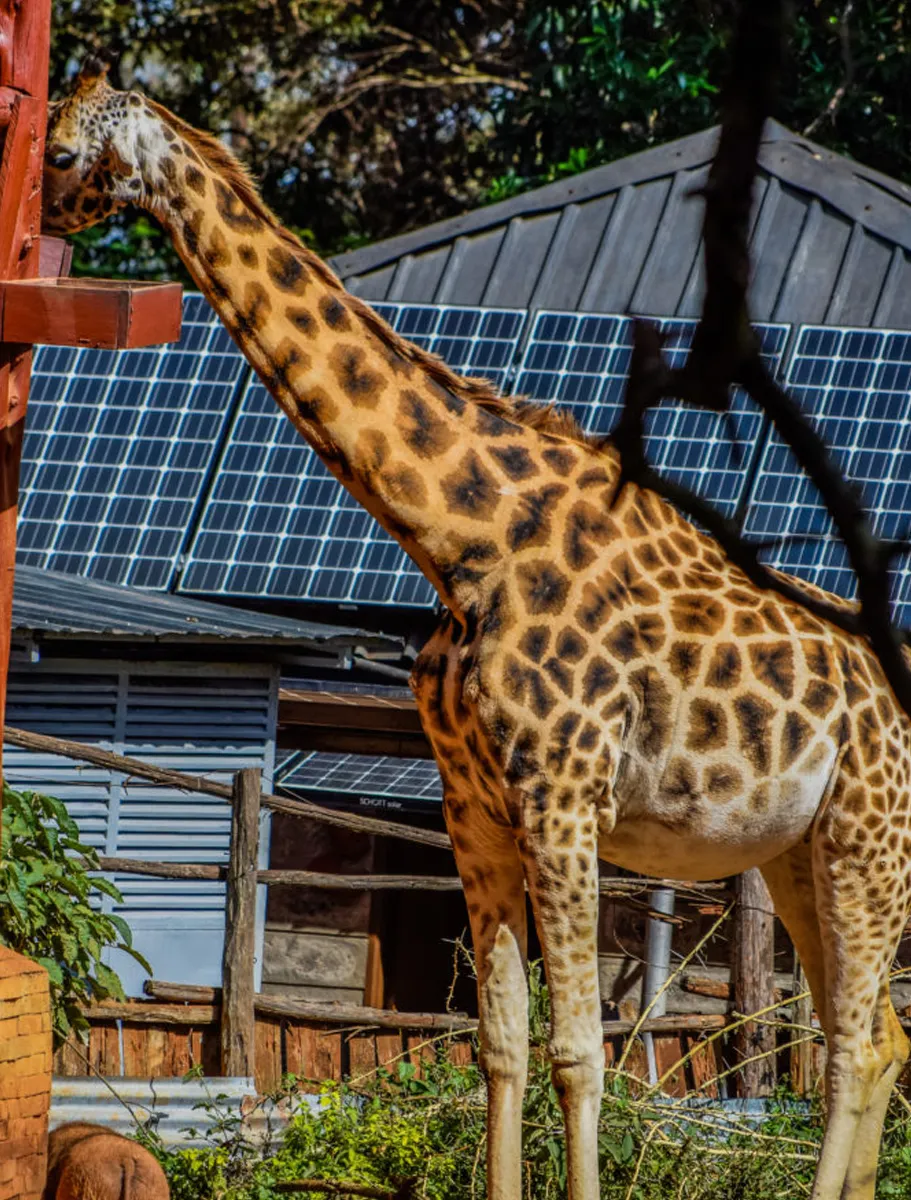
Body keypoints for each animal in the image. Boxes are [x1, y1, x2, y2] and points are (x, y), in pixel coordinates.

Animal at [41, 61, 911, 1200]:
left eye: (60, 152)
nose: (42, 222)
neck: (459, 540)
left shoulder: (562, 798)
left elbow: (579, 1052)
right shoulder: (474, 805)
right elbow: (497, 1043)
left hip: (868, 834)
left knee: (849, 1040)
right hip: (795, 851)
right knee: (882, 1033)